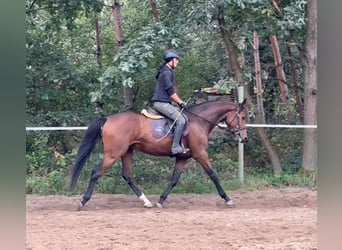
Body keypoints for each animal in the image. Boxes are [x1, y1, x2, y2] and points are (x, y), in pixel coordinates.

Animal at [69, 97, 247, 209]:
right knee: (96, 172)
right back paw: (83, 201)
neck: (199, 121)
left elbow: (174, 179)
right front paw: (228, 199)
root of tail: (107, 119)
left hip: (127, 152)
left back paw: (146, 201)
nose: (244, 138)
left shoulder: (183, 158)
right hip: (113, 154)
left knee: (127, 175)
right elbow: (213, 175)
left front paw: (161, 200)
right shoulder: (200, 154)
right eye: (243, 117)